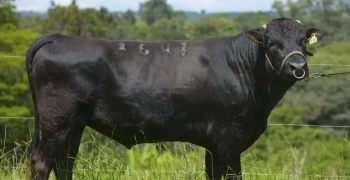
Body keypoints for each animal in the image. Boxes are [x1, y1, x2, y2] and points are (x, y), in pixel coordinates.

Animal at [26, 18, 322, 180]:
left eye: (301, 41)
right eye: (272, 43)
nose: (298, 67)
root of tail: (59, 38)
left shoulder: (213, 143)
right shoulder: (229, 138)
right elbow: (232, 174)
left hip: (75, 124)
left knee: (64, 162)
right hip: (58, 120)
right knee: (42, 161)